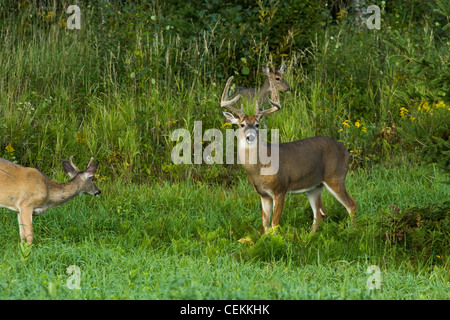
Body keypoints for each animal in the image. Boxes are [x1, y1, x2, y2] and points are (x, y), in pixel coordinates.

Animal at [221, 76, 356, 234]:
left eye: (257, 124)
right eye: (241, 125)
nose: (250, 137)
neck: (259, 169)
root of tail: (345, 150)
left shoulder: (280, 189)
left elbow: (274, 224)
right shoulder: (263, 194)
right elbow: (265, 223)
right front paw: (264, 239)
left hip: (335, 176)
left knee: (351, 205)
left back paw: (354, 232)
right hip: (315, 186)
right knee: (319, 213)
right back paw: (309, 236)